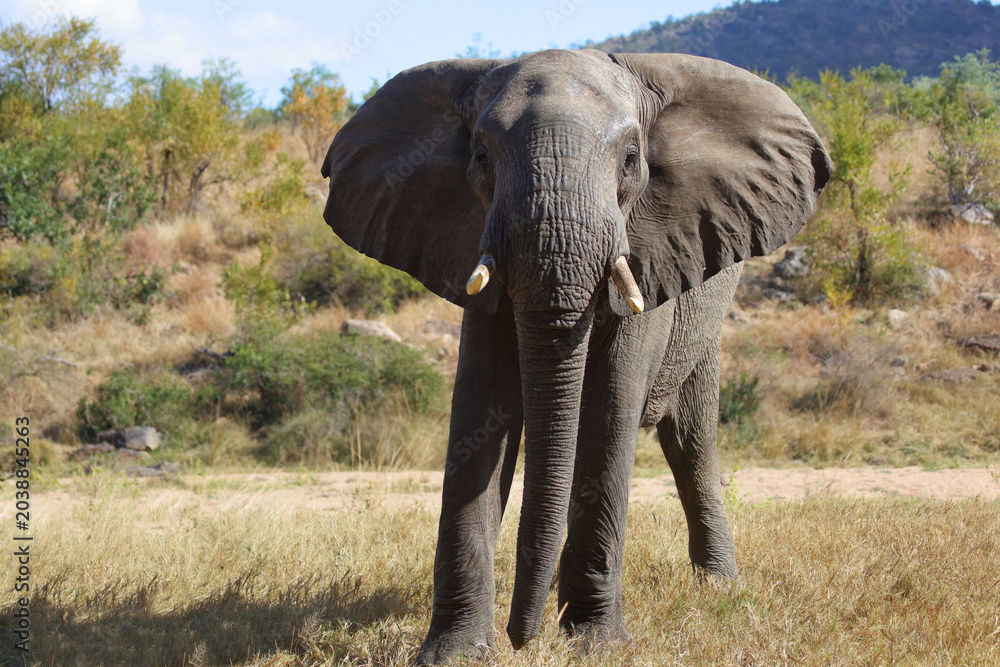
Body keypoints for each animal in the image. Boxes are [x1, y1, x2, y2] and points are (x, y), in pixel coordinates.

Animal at [321, 49, 831, 664]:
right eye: (481, 157)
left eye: (632, 160)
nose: (521, 637)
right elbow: (479, 414)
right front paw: (457, 652)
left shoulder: (651, 254)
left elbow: (609, 411)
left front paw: (594, 642)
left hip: (707, 313)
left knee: (689, 440)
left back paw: (720, 589)